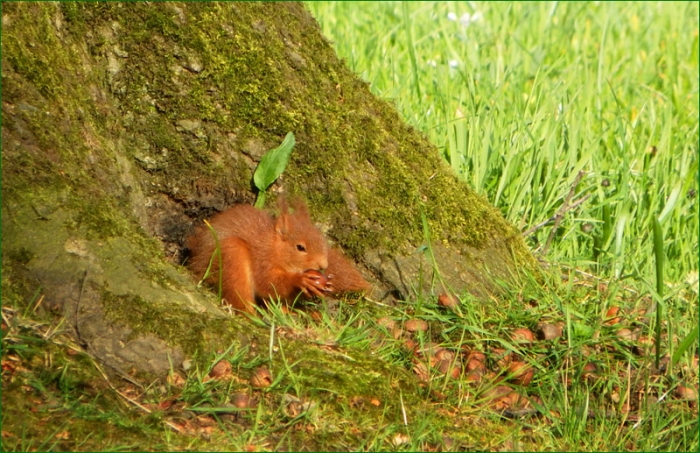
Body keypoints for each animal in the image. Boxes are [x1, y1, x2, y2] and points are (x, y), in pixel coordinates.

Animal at [186, 197, 370, 314]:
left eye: (322, 239)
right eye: (300, 247)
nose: (323, 265)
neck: (275, 249)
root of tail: (197, 263)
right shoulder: (262, 259)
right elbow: (268, 284)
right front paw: (300, 280)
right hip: (232, 255)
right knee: (239, 295)